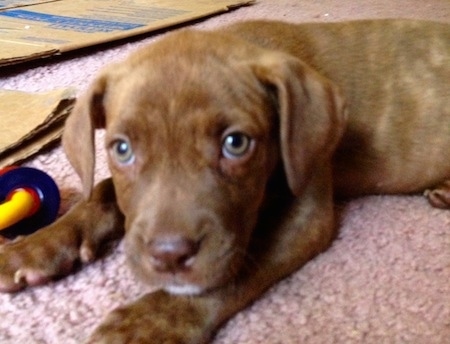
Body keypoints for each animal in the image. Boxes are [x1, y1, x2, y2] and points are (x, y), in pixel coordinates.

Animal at [0, 19, 450, 344]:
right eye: (122, 149)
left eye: (236, 144)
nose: (169, 256)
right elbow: (104, 189)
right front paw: (36, 248)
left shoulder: (306, 212)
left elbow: (236, 269)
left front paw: (150, 320)